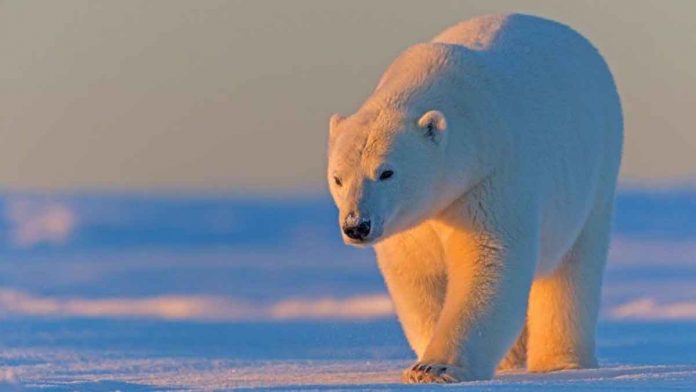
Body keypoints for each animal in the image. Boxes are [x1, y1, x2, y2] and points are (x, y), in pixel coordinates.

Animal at [328, 14, 624, 382]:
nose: (356, 225)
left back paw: (562, 362)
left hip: (595, 175)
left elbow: (486, 263)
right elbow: (418, 276)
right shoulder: (410, 221)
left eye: (386, 172)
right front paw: (424, 362)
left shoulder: (489, 179)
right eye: (338, 178)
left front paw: (436, 367)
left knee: (572, 271)